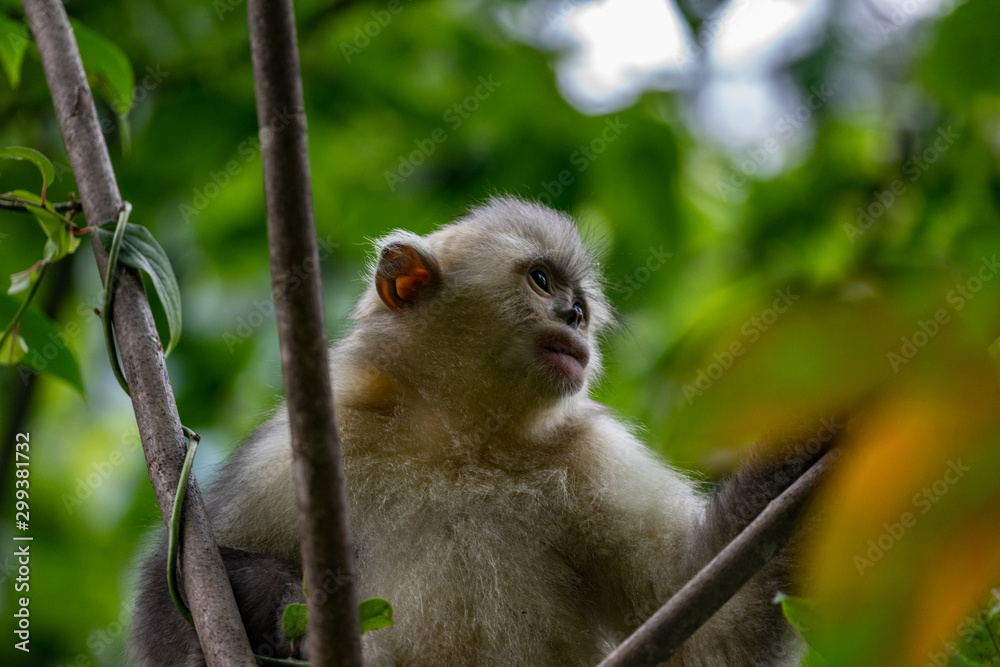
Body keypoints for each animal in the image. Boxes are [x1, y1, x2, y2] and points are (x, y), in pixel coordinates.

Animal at [130, 196, 833, 666]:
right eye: (542, 280)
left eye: (581, 305)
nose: (572, 316)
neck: (460, 441)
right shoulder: (314, 440)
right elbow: (183, 578)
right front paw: (268, 609)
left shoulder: (591, 454)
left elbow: (709, 627)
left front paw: (818, 444)